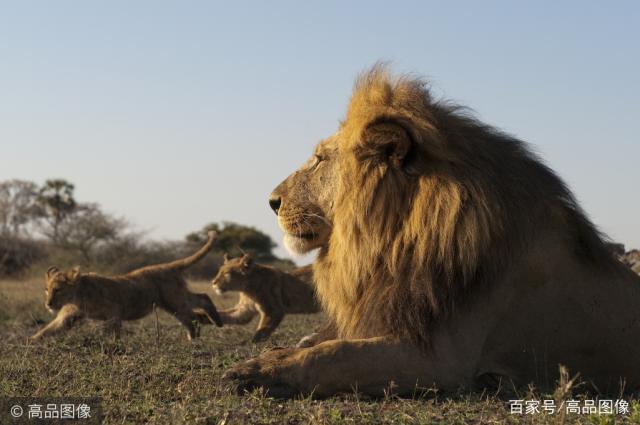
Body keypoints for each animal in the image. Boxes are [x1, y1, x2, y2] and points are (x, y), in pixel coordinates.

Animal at [31, 230, 224, 340]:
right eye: (47, 290)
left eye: (58, 290)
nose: (48, 304)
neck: (77, 296)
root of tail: (169, 265)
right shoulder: (67, 316)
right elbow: (48, 331)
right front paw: (30, 343)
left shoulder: (114, 312)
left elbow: (113, 332)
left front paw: (112, 347)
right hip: (174, 301)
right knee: (197, 307)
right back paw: (202, 332)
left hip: (174, 301)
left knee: (196, 309)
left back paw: (206, 330)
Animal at [224, 66, 640, 398]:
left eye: (319, 159)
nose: (271, 201)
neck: (393, 242)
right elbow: (324, 341)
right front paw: (277, 352)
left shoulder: (442, 360)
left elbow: (336, 354)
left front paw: (257, 371)